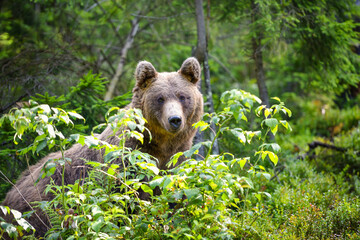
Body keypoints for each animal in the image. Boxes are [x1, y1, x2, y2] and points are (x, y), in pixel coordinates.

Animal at [2, 57, 202, 237]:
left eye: (182, 96)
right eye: (160, 98)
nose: (174, 120)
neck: (160, 145)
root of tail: (9, 196)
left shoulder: (176, 161)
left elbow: (174, 202)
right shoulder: (125, 164)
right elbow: (123, 204)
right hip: (35, 213)